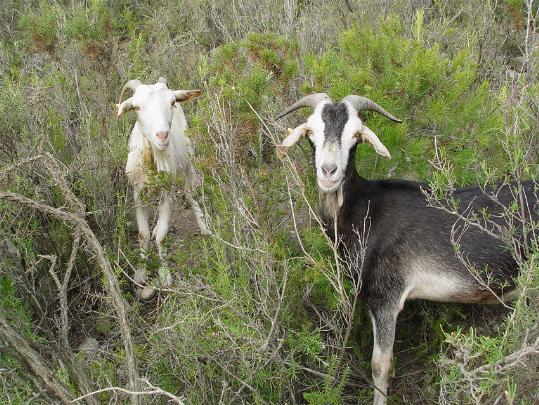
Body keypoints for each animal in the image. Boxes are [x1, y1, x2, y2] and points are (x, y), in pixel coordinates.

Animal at [276, 93, 536, 402]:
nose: (328, 172)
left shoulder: (386, 294)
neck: (363, 210)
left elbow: (380, 365)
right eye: (311, 131)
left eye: (356, 135)